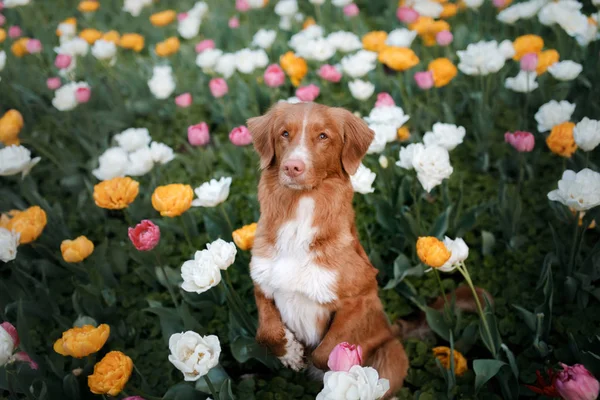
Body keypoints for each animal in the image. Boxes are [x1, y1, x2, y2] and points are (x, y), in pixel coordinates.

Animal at [246, 101, 410, 396]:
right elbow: (265, 333)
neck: (299, 213)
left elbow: (327, 352)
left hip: (392, 353)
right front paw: (291, 352)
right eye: (284, 133)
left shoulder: (361, 297)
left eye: (323, 136)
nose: (292, 167)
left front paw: (335, 368)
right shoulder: (262, 282)